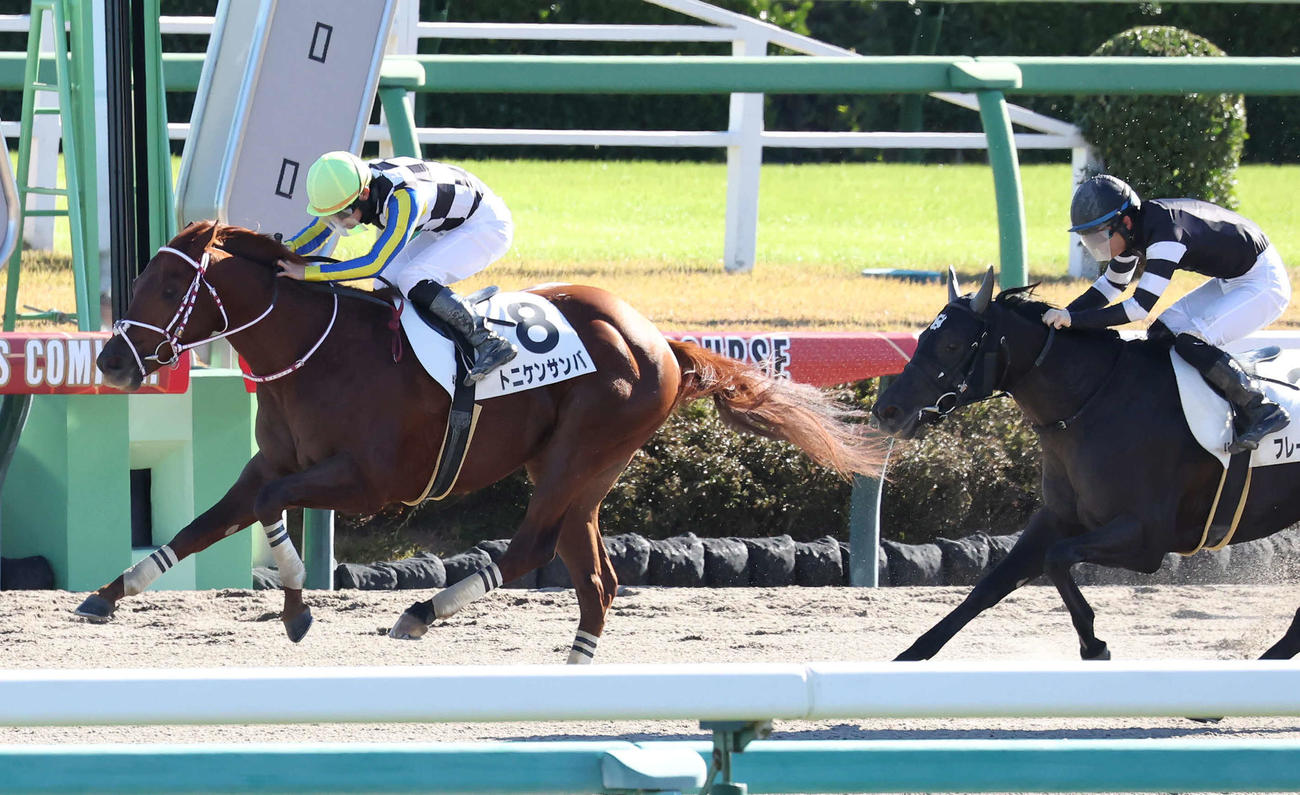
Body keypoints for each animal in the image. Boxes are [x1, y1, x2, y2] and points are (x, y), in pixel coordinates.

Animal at [81, 220, 887, 661]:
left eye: (165, 289)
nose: (111, 360)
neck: (315, 352)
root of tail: (660, 340)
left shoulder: (371, 481)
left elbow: (272, 508)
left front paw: (298, 608)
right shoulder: (273, 461)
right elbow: (206, 522)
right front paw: (108, 594)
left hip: (577, 454)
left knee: (532, 549)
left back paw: (422, 612)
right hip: (584, 472)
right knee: (596, 579)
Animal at [870, 267, 1300, 662]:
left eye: (952, 345)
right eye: (923, 338)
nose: (887, 411)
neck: (1095, 400)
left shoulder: (1147, 537)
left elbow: (1057, 558)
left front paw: (1094, 645)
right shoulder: (1058, 517)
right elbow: (990, 585)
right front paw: (909, 657)